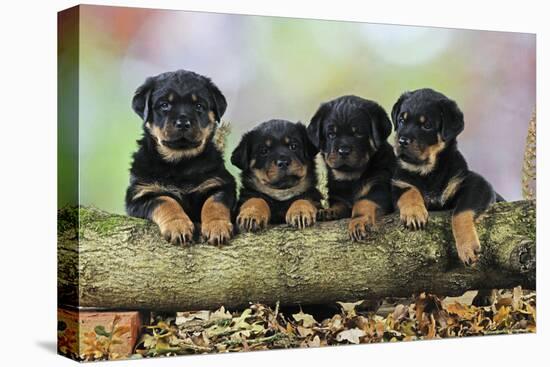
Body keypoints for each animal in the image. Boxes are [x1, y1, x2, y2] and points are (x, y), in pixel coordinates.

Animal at [126, 69, 236, 247]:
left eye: (199, 106)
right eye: (164, 105)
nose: (183, 123)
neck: (180, 163)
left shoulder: (221, 183)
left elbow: (214, 202)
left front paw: (217, 227)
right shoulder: (140, 194)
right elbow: (165, 200)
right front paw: (178, 226)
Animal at [308, 95, 398, 242]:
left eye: (359, 133)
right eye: (331, 134)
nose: (343, 151)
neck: (350, 178)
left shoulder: (380, 188)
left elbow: (362, 203)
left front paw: (358, 223)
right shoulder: (337, 195)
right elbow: (339, 204)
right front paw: (328, 211)